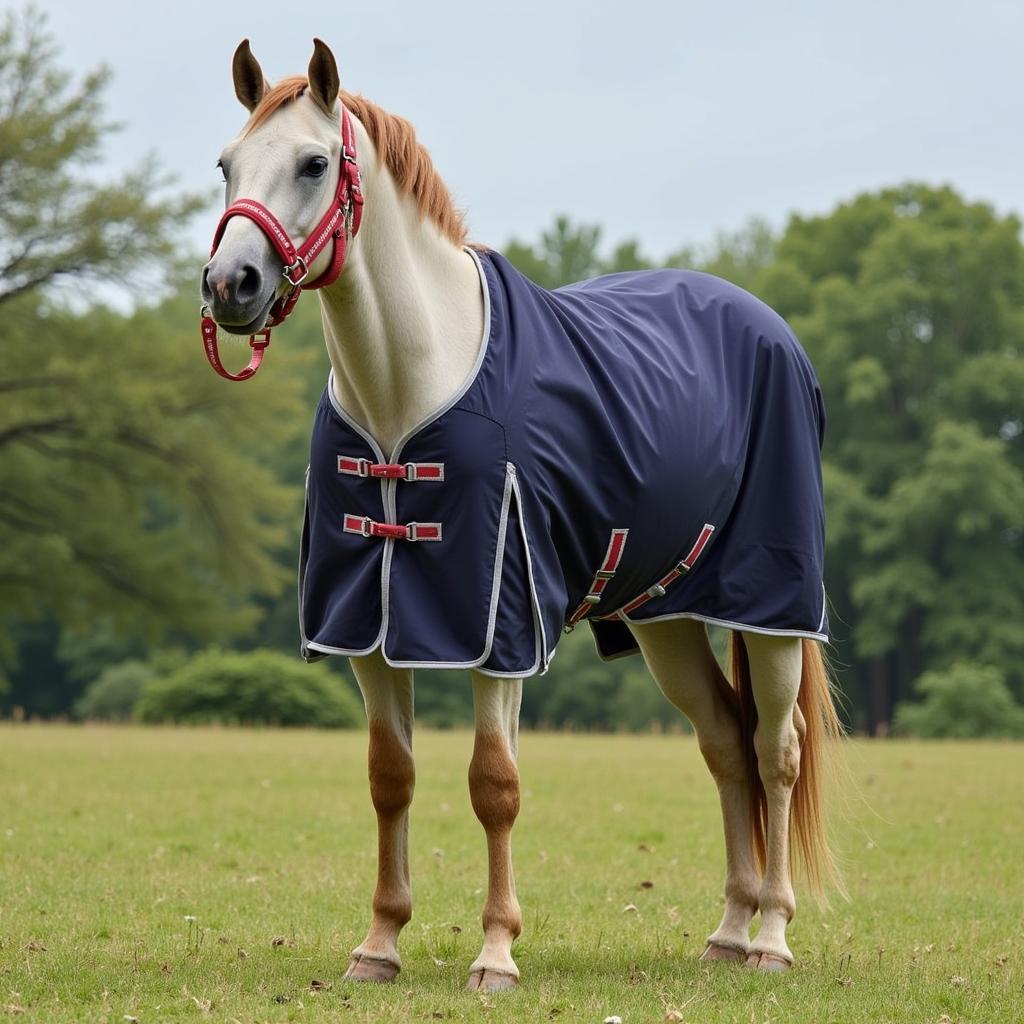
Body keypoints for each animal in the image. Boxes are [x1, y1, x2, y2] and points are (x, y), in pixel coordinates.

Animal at [197, 37, 839, 991]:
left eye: (313, 163)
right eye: (228, 164)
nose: (229, 284)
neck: (406, 390)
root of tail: (771, 330)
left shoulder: (498, 625)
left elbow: (493, 784)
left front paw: (495, 952)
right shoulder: (370, 629)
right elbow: (391, 776)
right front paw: (378, 945)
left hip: (772, 612)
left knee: (776, 752)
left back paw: (770, 938)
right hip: (667, 618)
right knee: (726, 743)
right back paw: (728, 931)